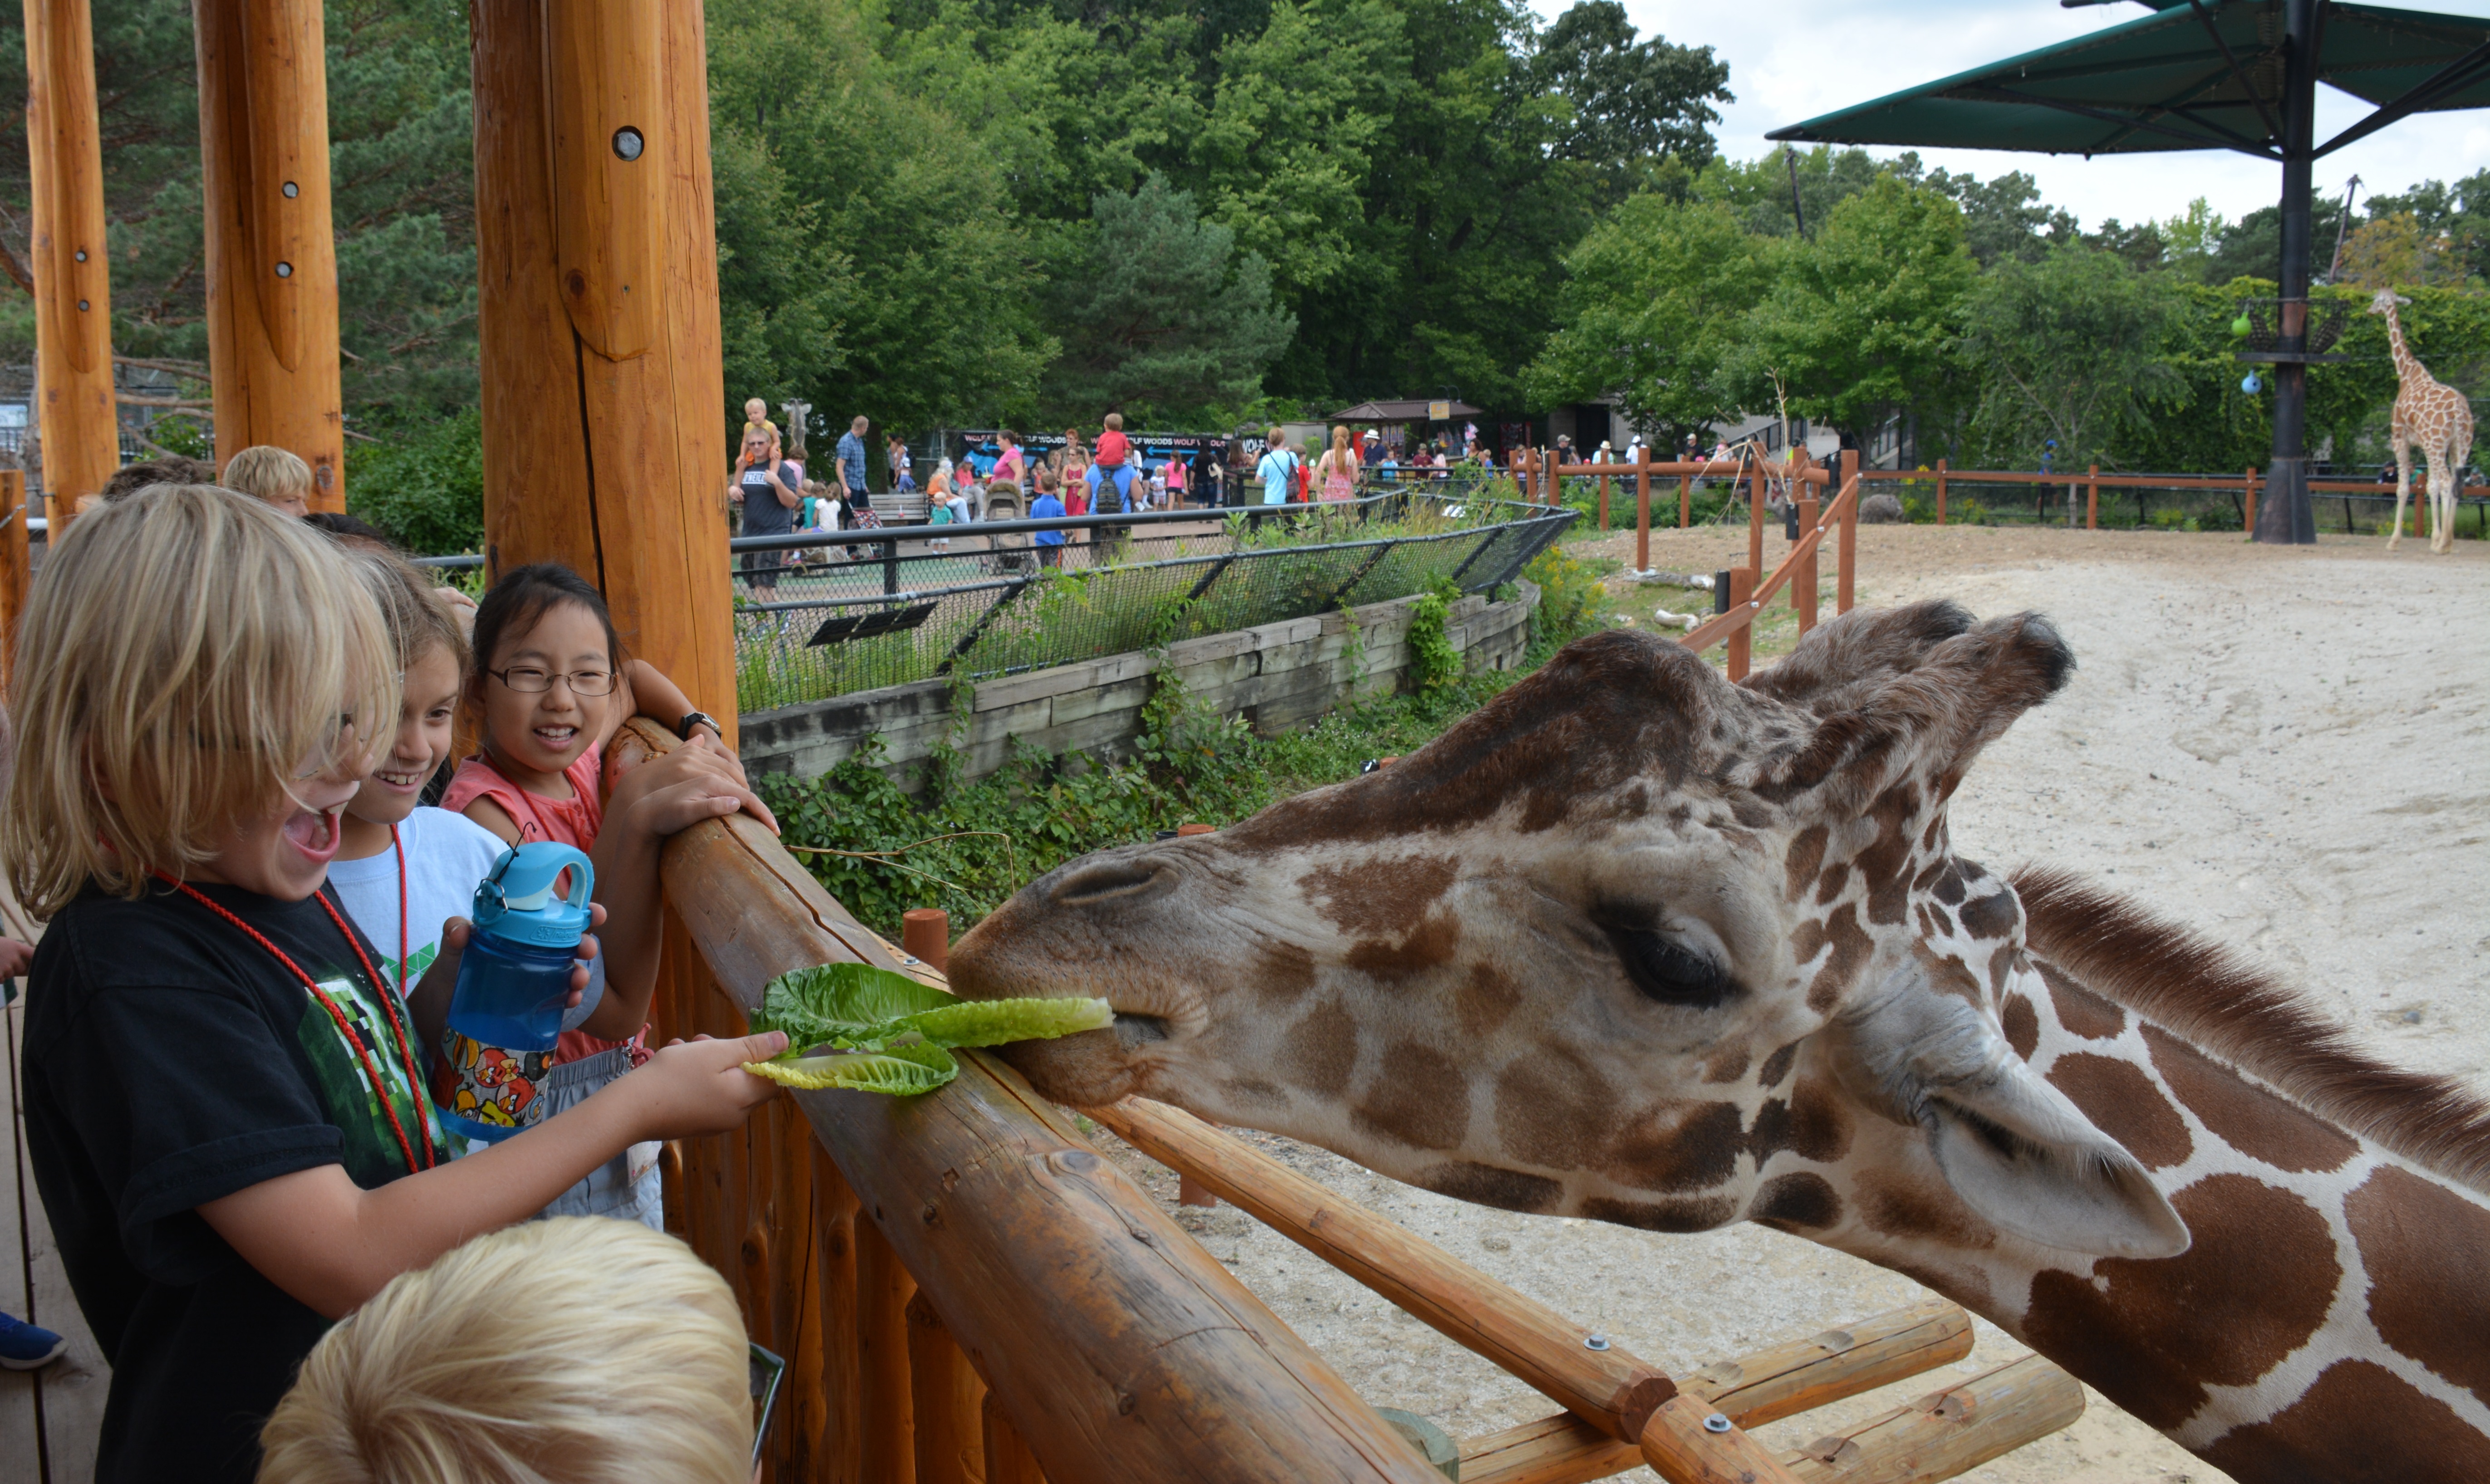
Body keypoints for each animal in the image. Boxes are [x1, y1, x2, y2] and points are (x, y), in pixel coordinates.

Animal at [2368, 288, 2471, 554]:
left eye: (2378, 300)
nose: (2370, 310)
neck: (2406, 374)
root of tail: (2460, 412)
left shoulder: (2400, 438)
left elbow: (2404, 488)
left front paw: (2394, 541)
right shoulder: (2427, 445)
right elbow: (2431, 487)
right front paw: (2435, 537)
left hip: (2437, 444)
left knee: (2447, 482)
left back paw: (2443, 545)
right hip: (2460, 446)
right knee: (2456, 485)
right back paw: (2447, 541)